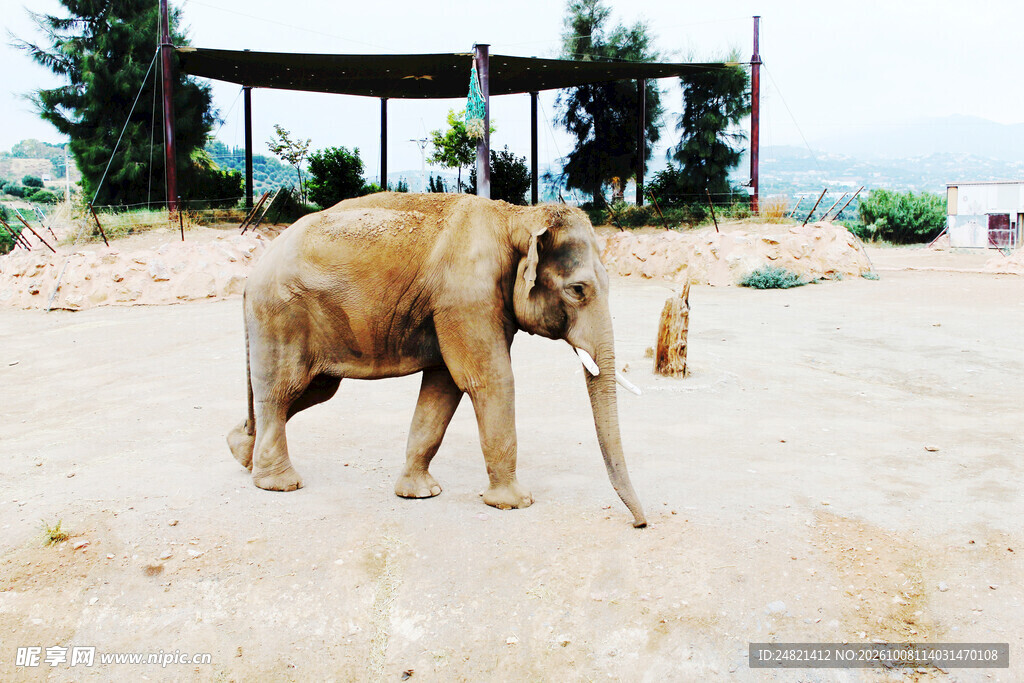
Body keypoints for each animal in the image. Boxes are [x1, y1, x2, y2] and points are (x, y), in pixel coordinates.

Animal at [227, 192, 646, 527]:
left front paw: (420, 493)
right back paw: (279, 483)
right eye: (578, 290)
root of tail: (253, 273)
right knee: (283, 391)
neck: (517, 216)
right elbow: (489, 380)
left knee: (310, 390)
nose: (640, 524)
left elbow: (443, 387)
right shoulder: (467, 296)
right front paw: (516, 503)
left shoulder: (459, 305)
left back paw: (241, 452)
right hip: (282, 315)